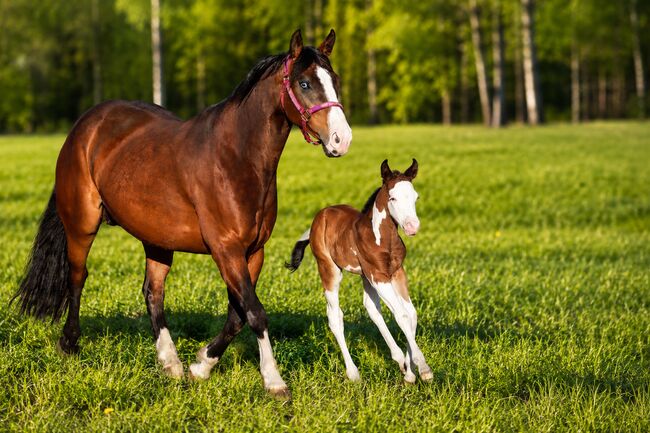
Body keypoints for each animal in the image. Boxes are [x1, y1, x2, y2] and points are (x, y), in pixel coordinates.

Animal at [13, 29, 352, 399]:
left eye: (335, 80)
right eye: (304, 83)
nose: (342, 140)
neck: (236, 158)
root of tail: (85, 125)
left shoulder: (253, 252)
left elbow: (238, 315)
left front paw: (200, 365)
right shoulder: (225, 250)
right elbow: (255, 313)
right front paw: (274, 381)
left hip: (157, 239)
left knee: (152, 293)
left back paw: (170, 363)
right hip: (82, 225)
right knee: (78, 277)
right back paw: (70, 343)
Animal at [285, 159, 432, 383]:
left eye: (415, 197)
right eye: (392, 197)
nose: (412, 227)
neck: (382, 238)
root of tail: (321, 215)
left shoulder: (397, 273)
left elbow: (411, 314)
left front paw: (409, 372)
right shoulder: (378, 275)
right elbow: (402, 315)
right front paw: (423, 368)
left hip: (365, 276)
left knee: (372, 309)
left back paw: (399, 360)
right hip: (330, 269)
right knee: (335, 316)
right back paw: (353, 373)